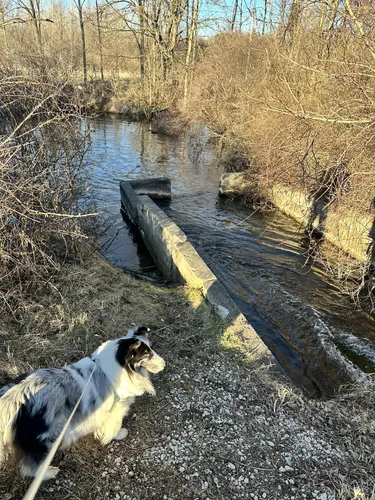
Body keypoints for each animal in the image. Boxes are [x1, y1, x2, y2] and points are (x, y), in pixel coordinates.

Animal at [0, 328, 164, 480]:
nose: (164, 363)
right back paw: (49, 473)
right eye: (146, 355)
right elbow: (113, 426)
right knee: (31, 467)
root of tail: (11, 400)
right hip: (42, 440)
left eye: (151, 348)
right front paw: (119, 434)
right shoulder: (116, 409)